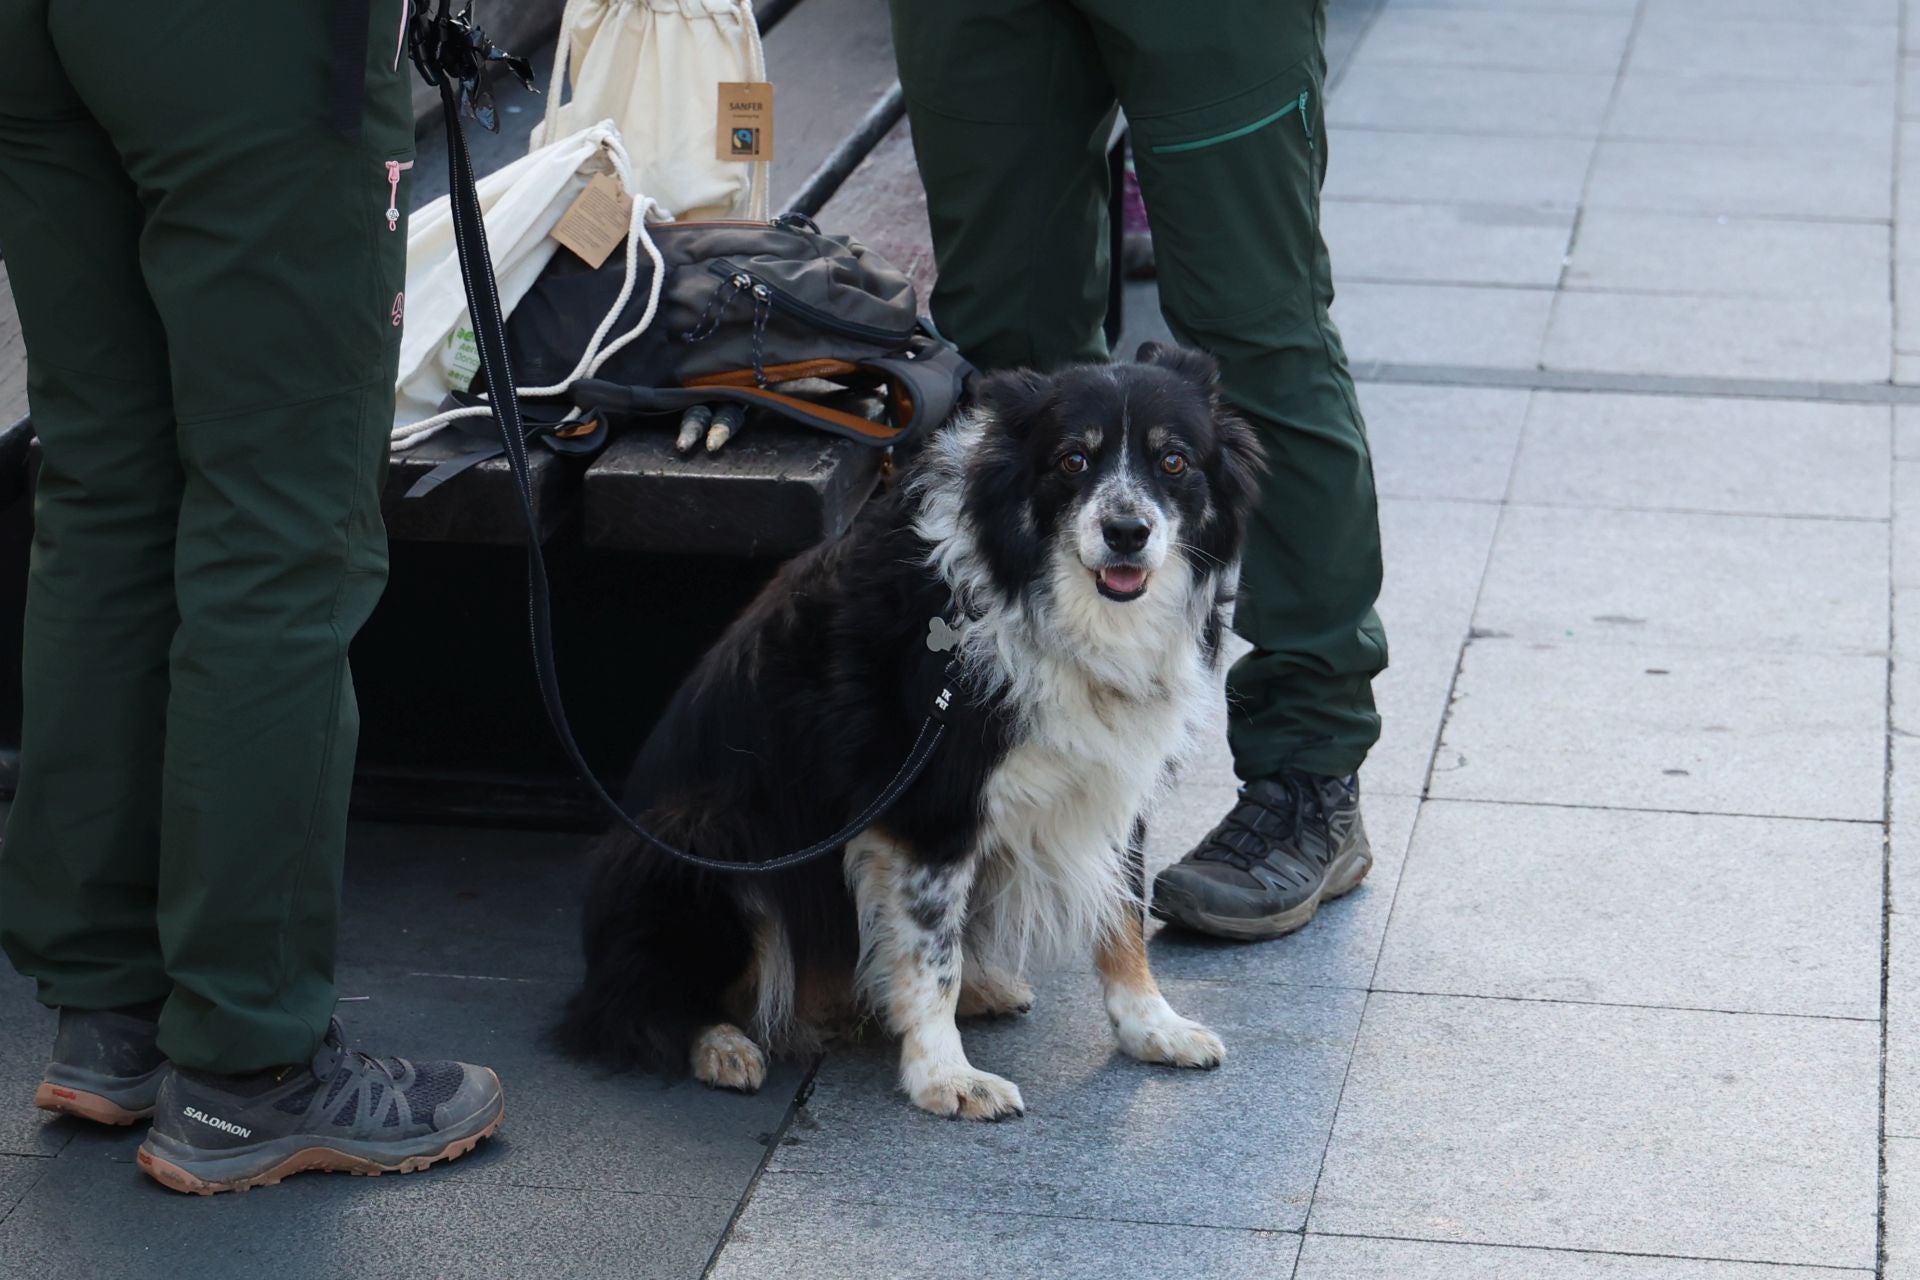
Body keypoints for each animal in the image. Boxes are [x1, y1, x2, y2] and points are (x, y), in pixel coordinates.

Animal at [560, 345, 1259, 1113]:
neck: (1045, 599)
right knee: (631, 1005)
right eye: (1073, 460)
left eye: (1174, 461)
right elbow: (932, 955)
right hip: (707, 834)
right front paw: (945, 1078)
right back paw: (721, 1045)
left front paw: (1152, 1028)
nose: (1127, 534)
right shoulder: (927, 806)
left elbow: (1124, 912)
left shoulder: (1112, 775)